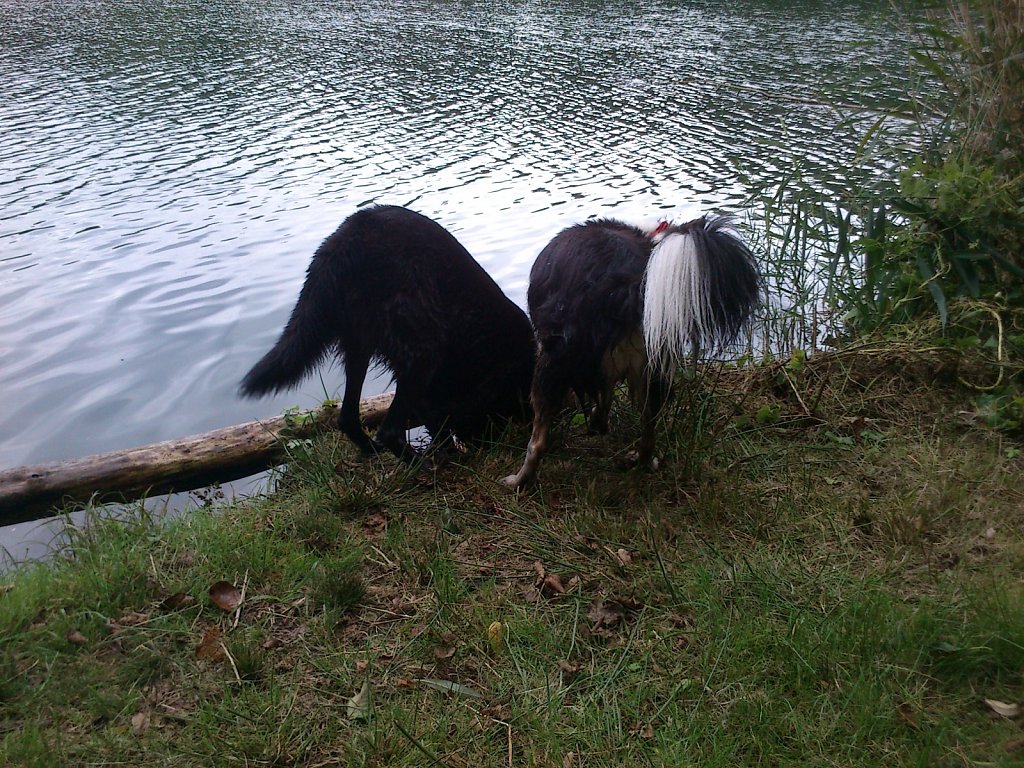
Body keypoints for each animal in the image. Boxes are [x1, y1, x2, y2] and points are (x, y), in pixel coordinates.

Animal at [240, 202, 536, 462]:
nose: (479, 444)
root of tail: (344, 241)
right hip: (423, 350)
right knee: (389, 431)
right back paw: (422, 465)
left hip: (359, 348)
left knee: (348, 417)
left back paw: (375, 450)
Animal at [499, 214, 757, 487]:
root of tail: (623, 284)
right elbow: (605, 402)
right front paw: (598, 423)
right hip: (652, 366)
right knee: (649, 425)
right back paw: (640, 460)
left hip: (550, 364)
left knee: (538, 441)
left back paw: (518, 480)